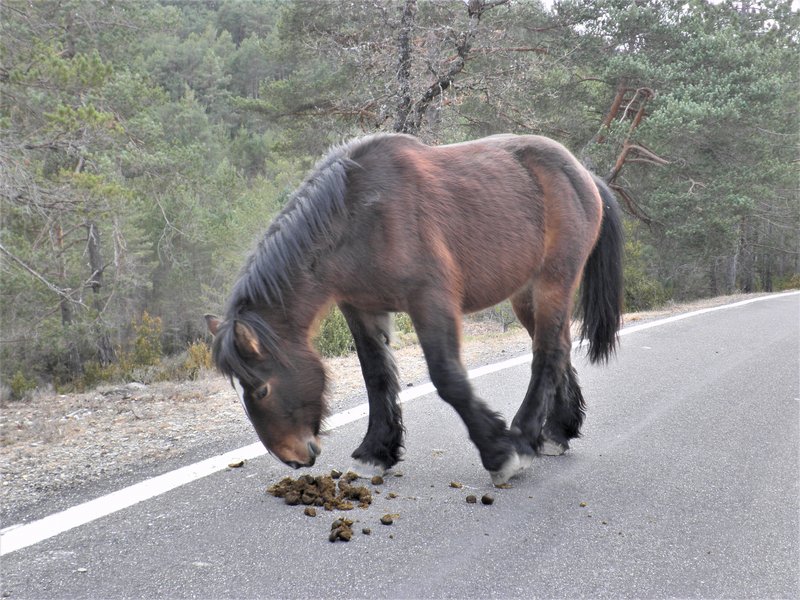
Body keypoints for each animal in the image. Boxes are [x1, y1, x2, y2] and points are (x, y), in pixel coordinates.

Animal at [202, 134, 624, 486]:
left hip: (554, 282)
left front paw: (499, 453)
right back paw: (555, 432)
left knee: (548, 352)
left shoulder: (431, 301)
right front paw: (376, 451)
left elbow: (447, 378)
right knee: (559, 349)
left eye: (261, 389)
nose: (292, 457)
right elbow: (376, 376)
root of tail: (583, 174)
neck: (360, 216)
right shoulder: (360, 308)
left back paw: (523, 436)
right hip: (525, 294)